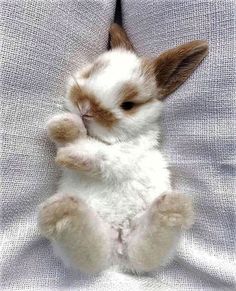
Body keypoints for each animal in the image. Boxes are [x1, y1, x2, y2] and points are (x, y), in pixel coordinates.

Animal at [37, 24, 208, 274]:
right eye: (90, 72)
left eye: (128, 105)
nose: (84, 108)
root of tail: (117, 253)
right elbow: (73, 135)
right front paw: (62, 126)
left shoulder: (128, 154)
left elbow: (103, 156)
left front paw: (67, 155)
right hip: (91, 242)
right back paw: (62, 212)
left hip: (143, 240)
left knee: (147, 252)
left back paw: (172, 207)